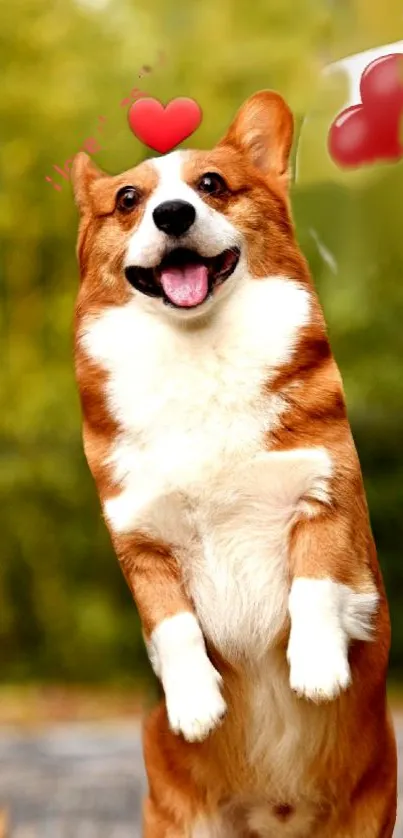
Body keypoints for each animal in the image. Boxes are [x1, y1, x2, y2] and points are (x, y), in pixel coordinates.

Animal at [72, 92, 398, 838]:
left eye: (212, 184)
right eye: (128, 199)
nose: (172, 214)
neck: (199, 354)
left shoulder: (327, 494)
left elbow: (315, 581)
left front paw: (316, 667)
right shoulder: (139, 541)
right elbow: (170, 623)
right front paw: (194, 703)